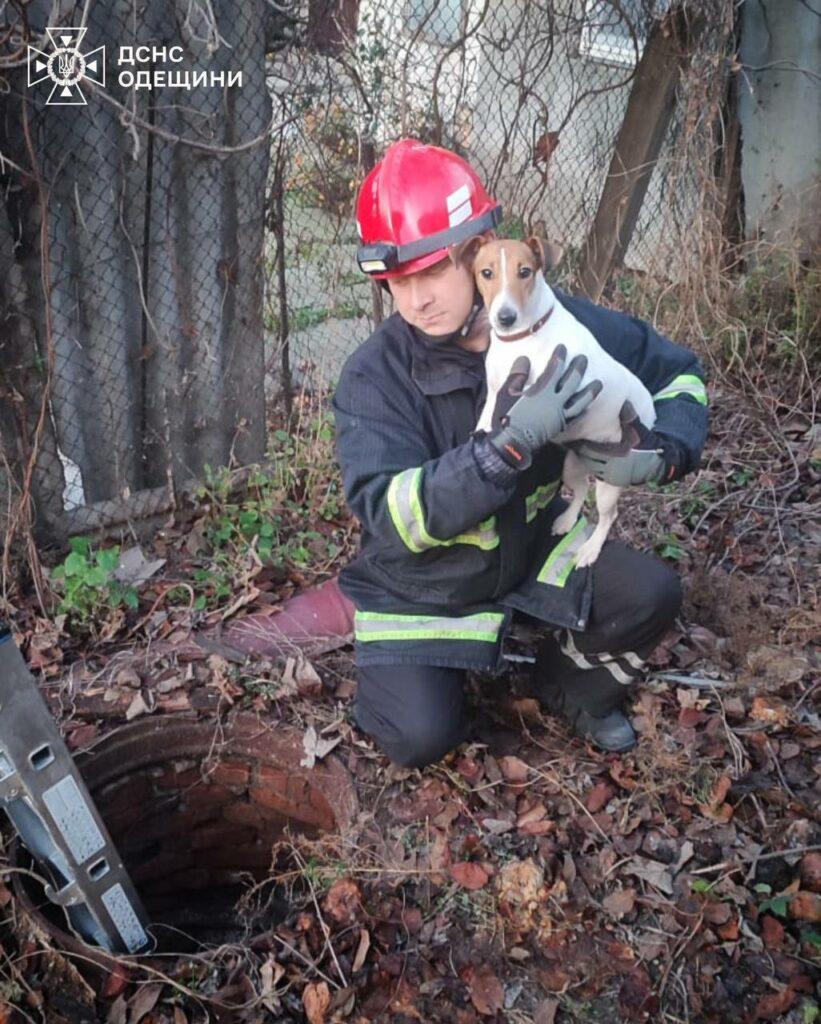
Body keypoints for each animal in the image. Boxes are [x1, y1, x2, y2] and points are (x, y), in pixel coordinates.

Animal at [450, 236, 655, 573]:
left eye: (525, 272)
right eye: (486, 273)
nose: (505, 318)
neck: (524, 338)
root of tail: (649, 407)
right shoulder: (495, 393)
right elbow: (487, 421)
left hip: (611, 478)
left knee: (607, 516)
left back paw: (590, 550)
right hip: (572, 465)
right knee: (580, 491)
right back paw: (566, 521)